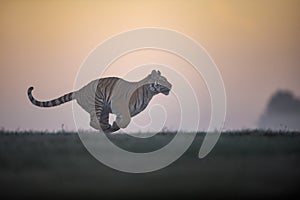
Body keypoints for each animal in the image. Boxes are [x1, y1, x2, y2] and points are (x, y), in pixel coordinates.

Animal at [27, 70, 172, 133]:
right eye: (162, 80)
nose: (171, 85)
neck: (149, 92)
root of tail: (80, 90)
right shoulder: (119, 105)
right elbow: (125, 120)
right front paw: (115, 124)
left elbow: (125, 121)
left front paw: (115, 125)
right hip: (98, 103)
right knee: (93, 122)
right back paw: (107, 128)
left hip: (104, 110)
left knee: (99, 121)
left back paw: (107, 128)